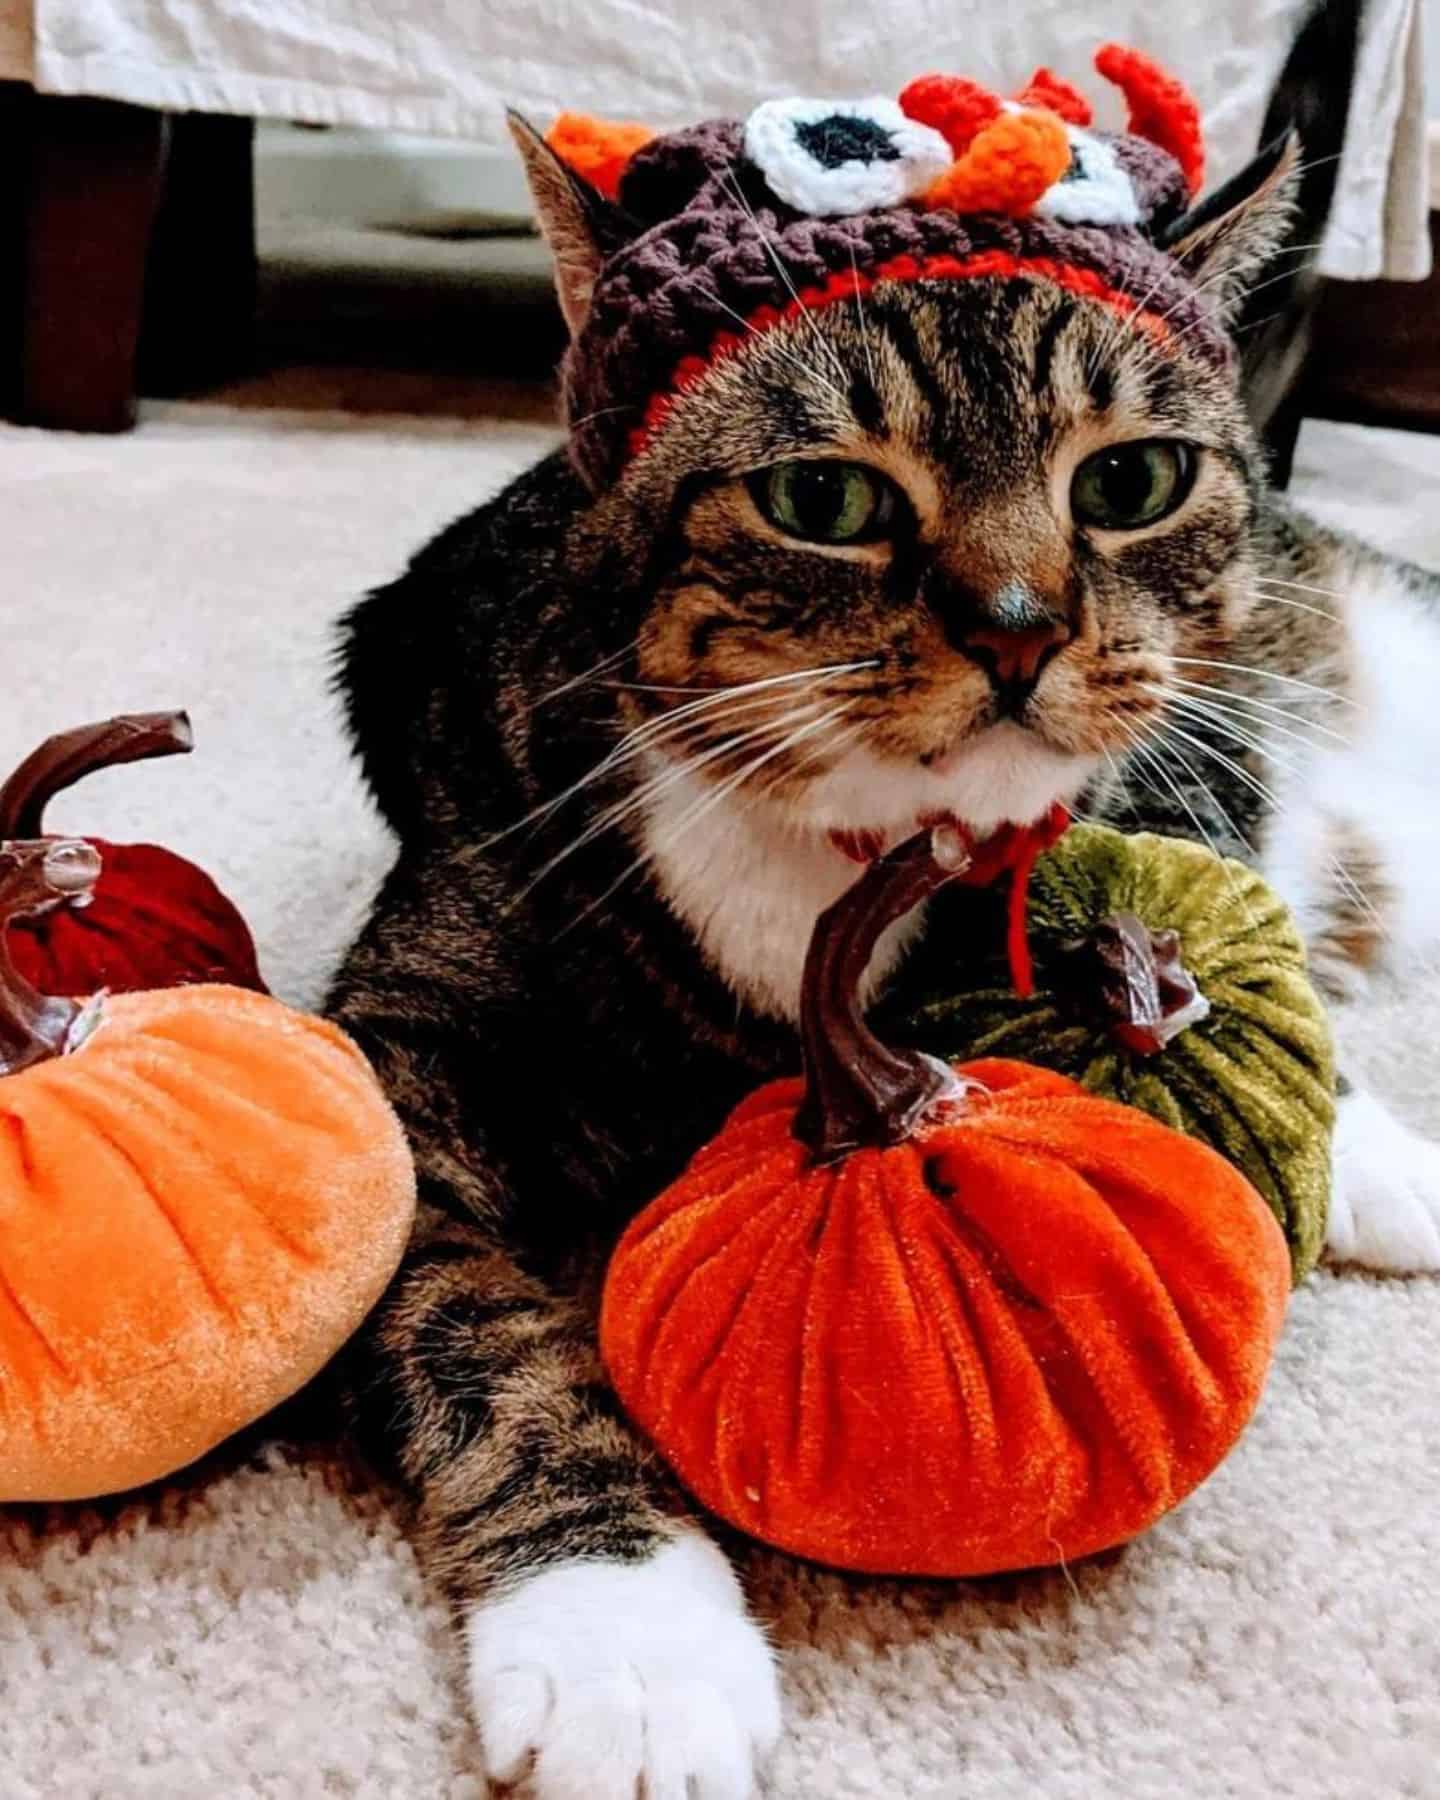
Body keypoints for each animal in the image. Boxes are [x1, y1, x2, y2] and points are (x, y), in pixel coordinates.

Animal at [329, 102, 1440, 1800]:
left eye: (1133, 480)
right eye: (826, 503)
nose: (1021, 627)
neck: (839, 845)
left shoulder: (1169, 769)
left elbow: (1191, 865)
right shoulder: (398, 1047)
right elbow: (468, 1314)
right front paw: (624, 1634)